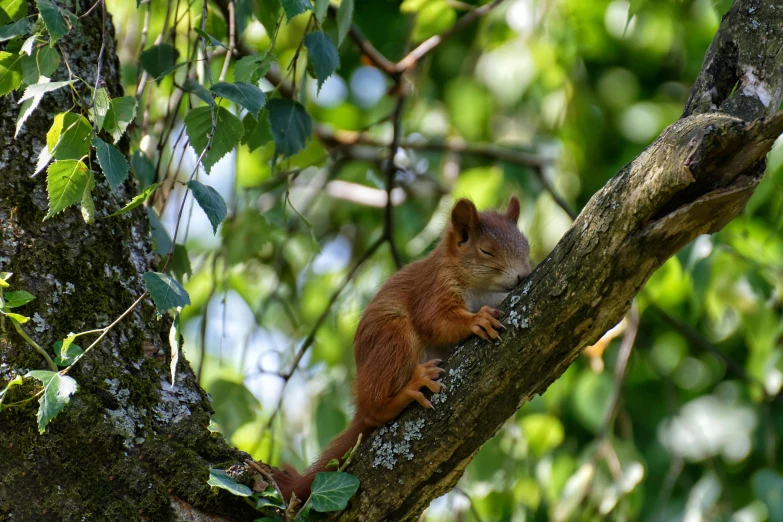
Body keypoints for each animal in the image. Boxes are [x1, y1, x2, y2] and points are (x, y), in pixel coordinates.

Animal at [272, 195, 528, 500]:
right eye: (486, 251)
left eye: (525, 244)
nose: (524, 276)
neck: (479, 287)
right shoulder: (433, 288)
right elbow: (435, 320)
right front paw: (476, 320)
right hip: (395, 338)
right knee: (374, 409)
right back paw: (408, 389)